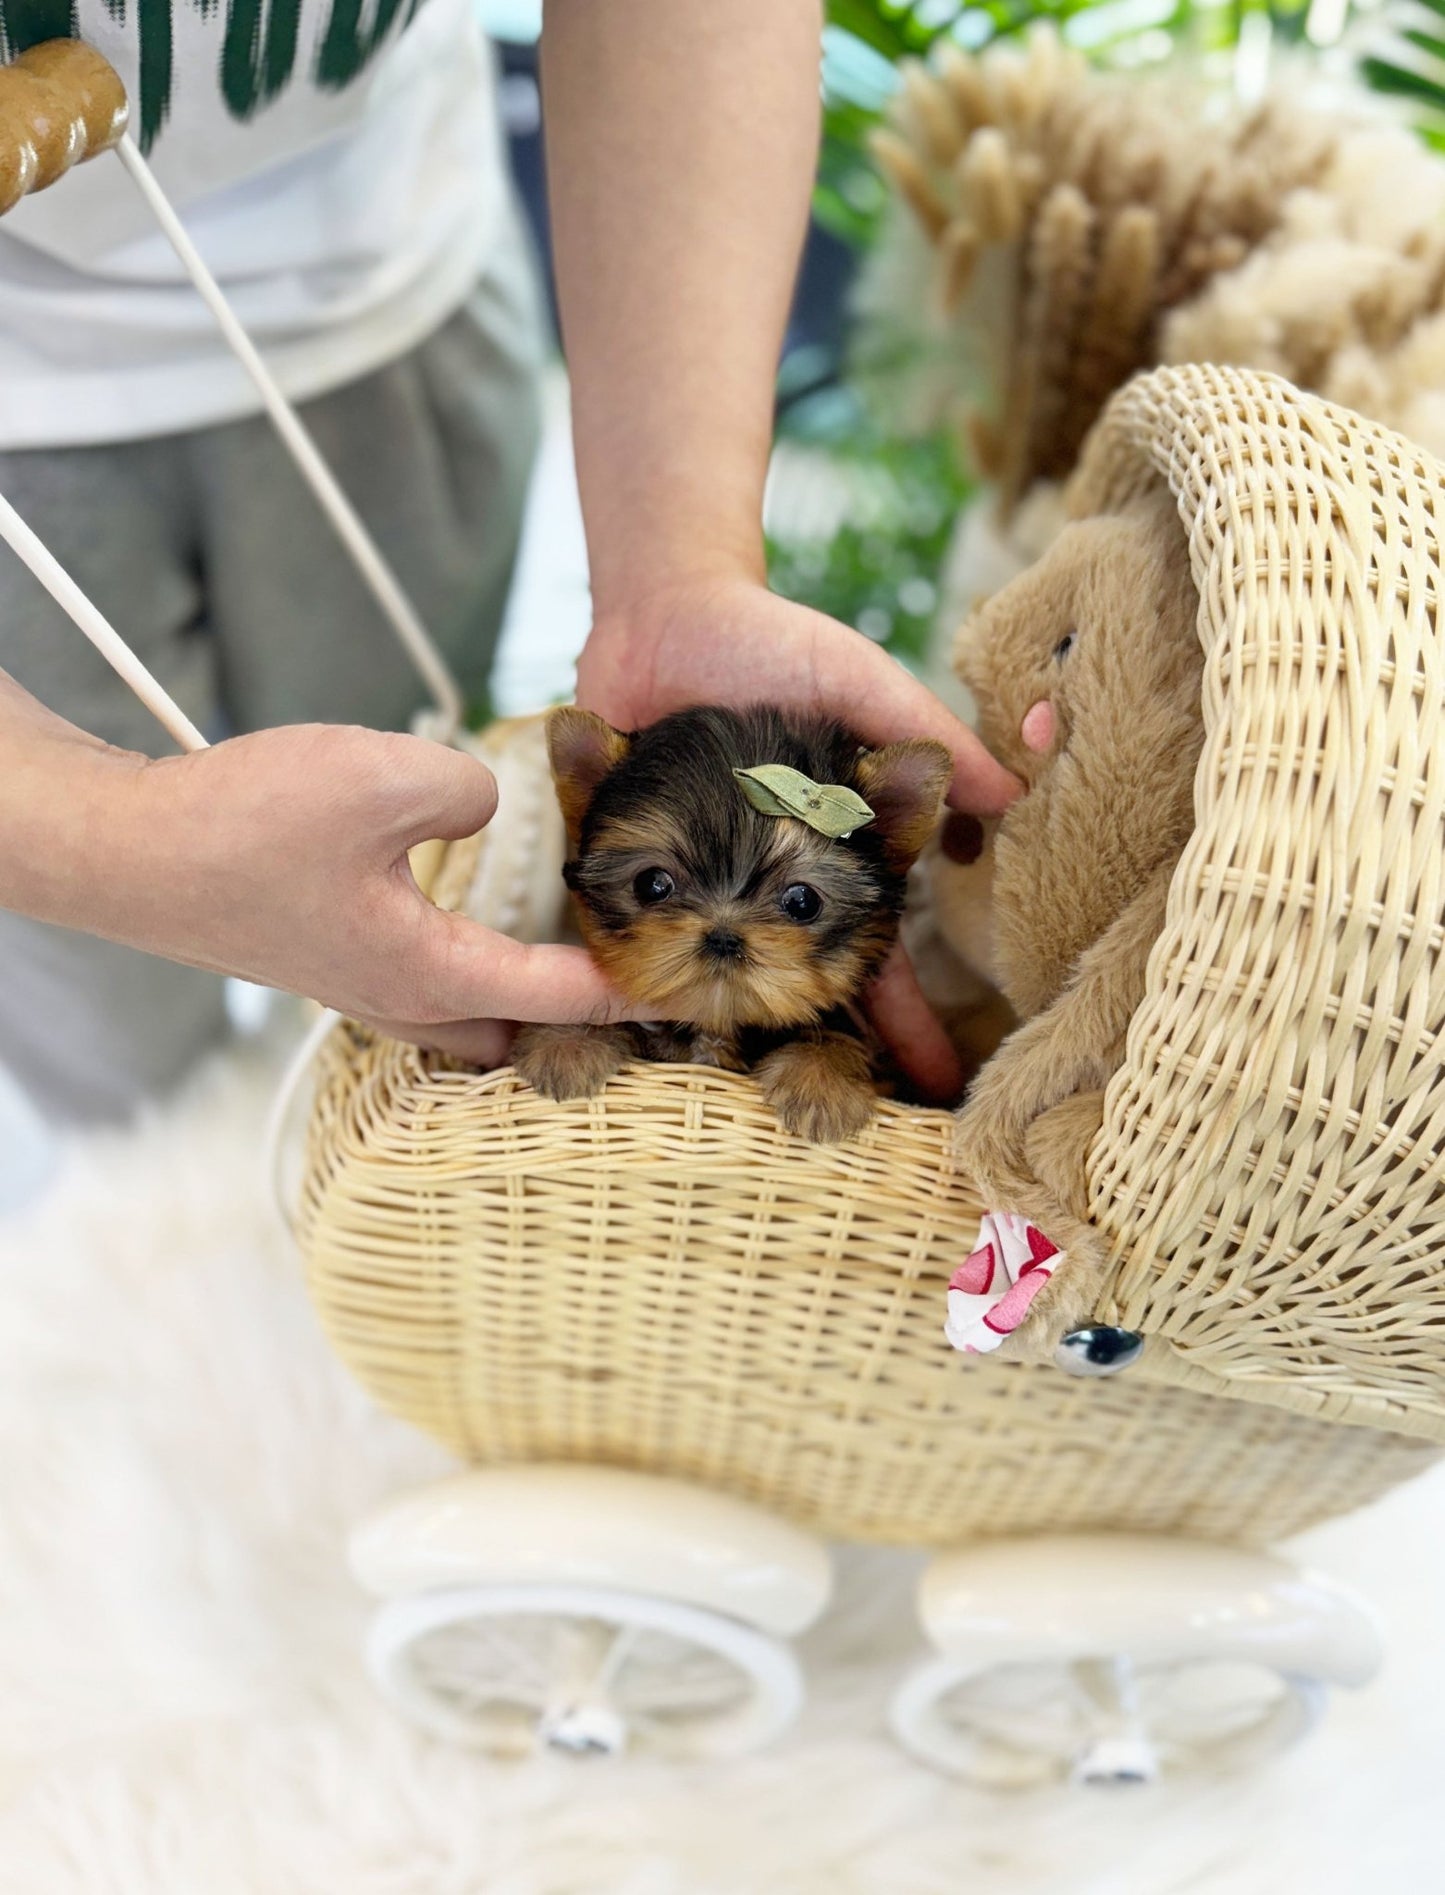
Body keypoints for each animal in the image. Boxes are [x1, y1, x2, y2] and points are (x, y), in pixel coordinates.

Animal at [515, 708, 954, 1137]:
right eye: (652, 884)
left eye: (802, 901)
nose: (723, 938)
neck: (717, 1026)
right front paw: (569, 1042)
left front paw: (822, 1081)